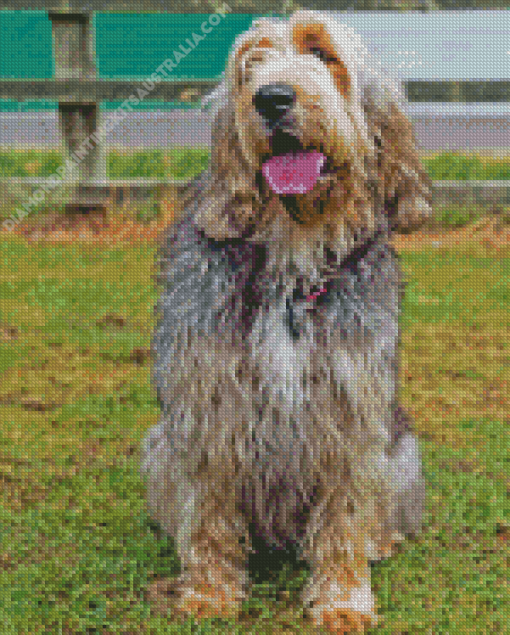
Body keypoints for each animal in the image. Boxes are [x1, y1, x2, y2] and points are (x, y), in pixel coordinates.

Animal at [140, 8, 430, 632]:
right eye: (250, 64)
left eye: (323, 53)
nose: (270, 99)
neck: (291, 260)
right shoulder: (207, 403)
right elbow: (208, 512)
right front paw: (207, 592)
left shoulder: (350, 411)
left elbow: (345, 516)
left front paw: (343, 599)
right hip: (158, 445)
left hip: (401, 452)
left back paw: (379, 541)